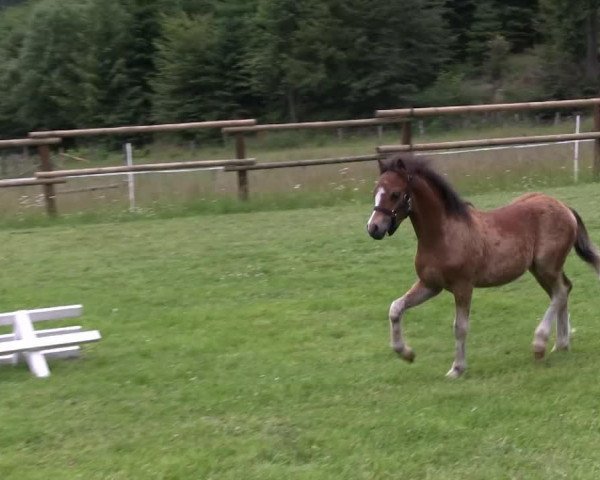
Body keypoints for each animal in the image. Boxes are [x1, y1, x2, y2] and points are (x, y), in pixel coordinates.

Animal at [366, 154, 600, 378]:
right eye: (375, 192)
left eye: (395, 194)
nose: (373, 228)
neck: (443, 235)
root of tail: (564, 207)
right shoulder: (430, 285)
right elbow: (396, 308)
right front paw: (406, 353)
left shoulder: (463, 287)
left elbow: (460, 327)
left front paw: (457, 369)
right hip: (541, 270)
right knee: (563, 291)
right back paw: (561, 344)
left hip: (546, 266)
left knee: (560, 292)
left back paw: (540, 345)